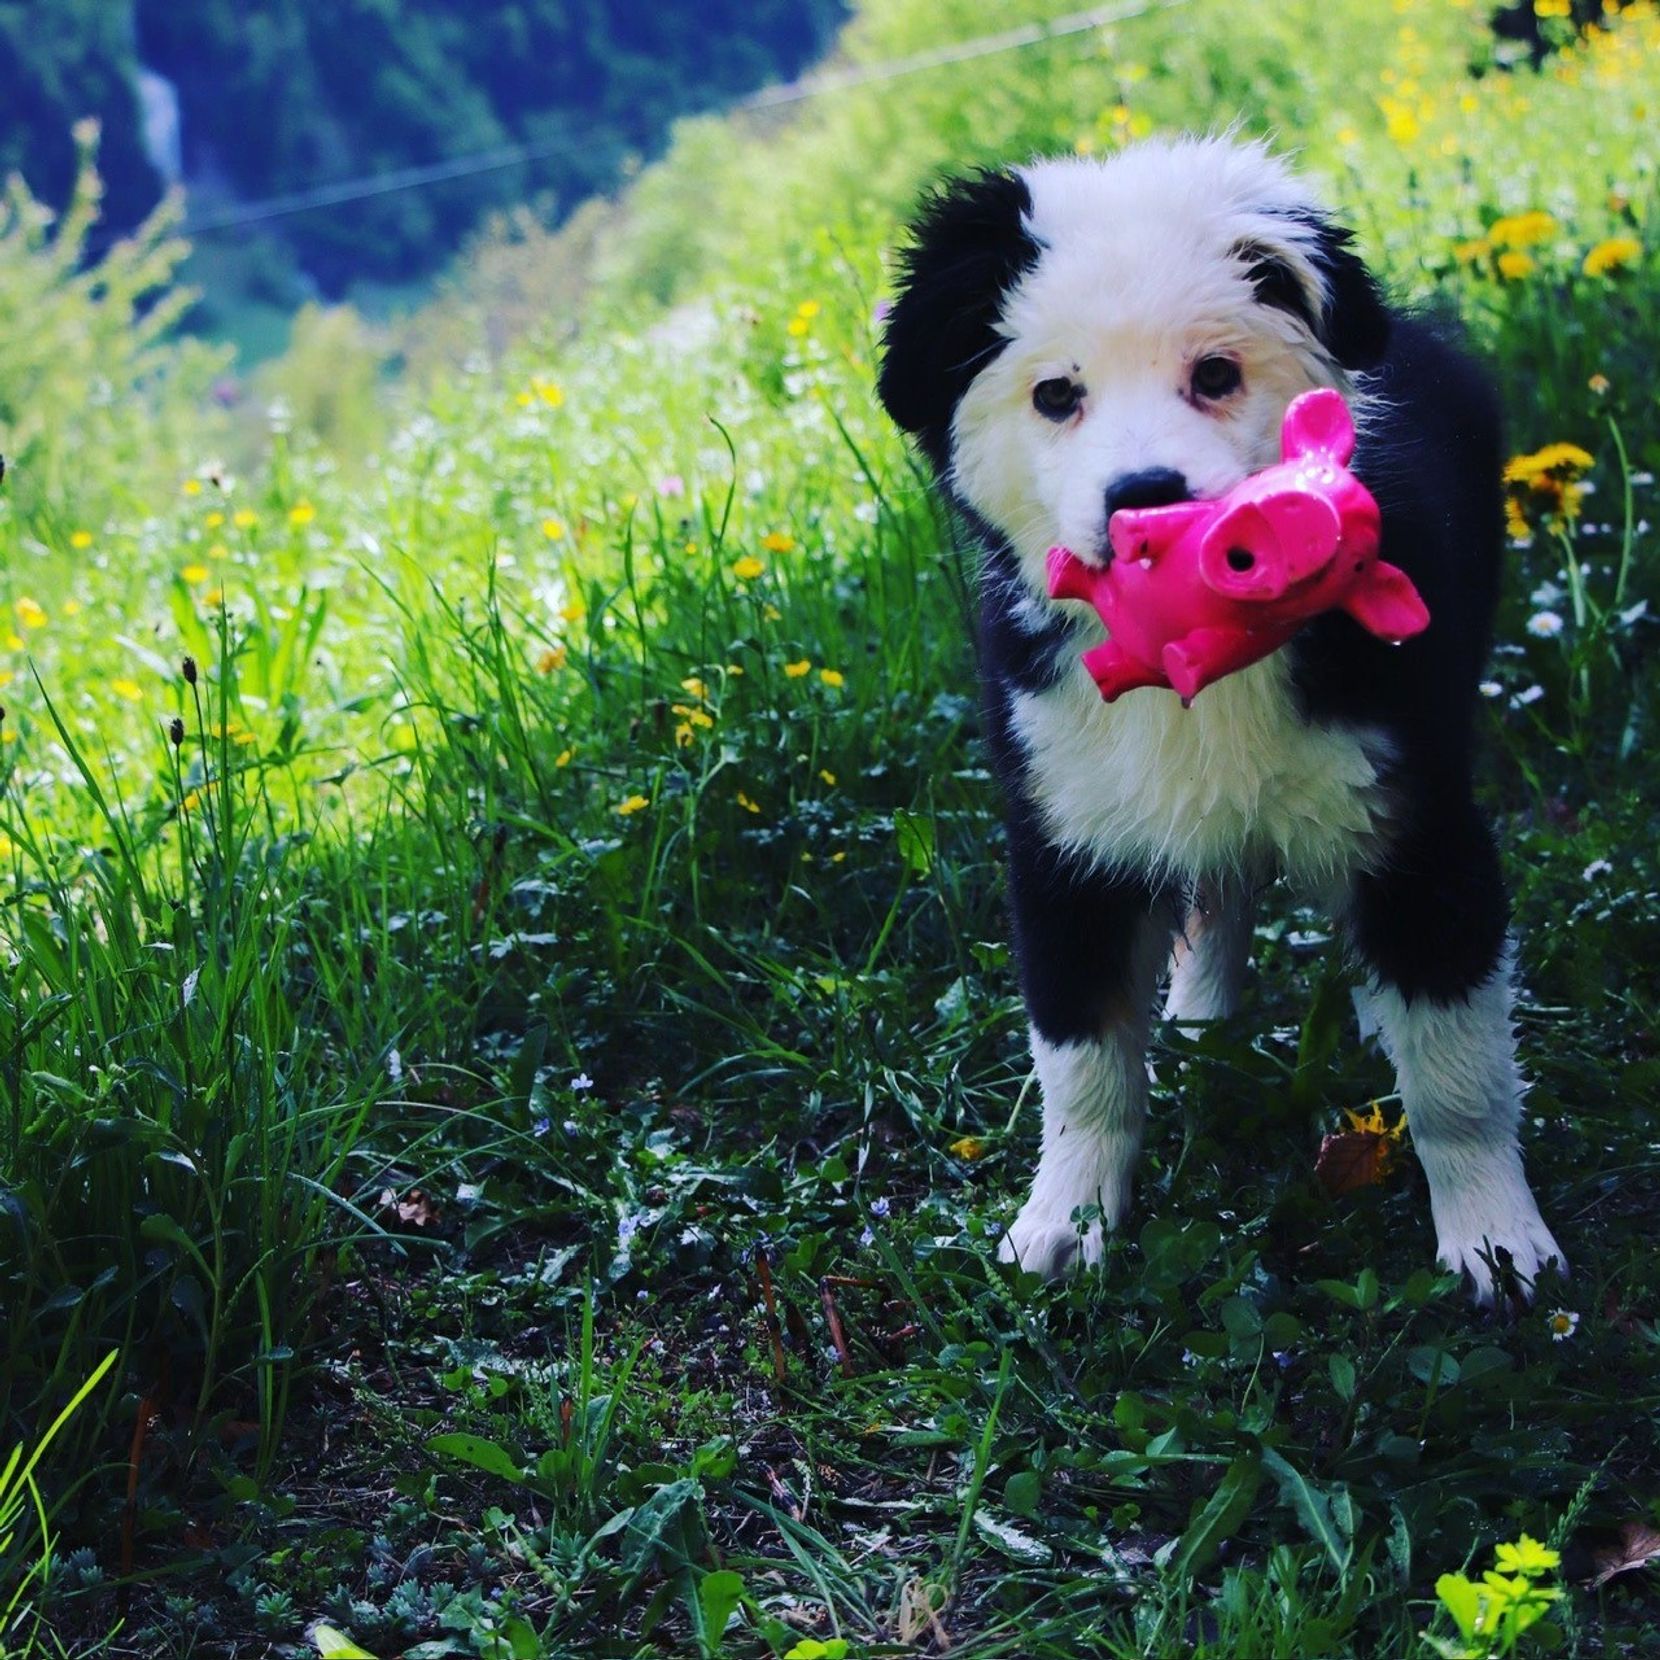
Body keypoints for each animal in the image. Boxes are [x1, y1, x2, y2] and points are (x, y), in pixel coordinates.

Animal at [876, 132, 1560, 1294]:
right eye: (1054, 394)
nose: (1146, 501)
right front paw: (1065, 1219)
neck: (1199, 658)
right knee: (1220, 887)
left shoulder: (1413, 817)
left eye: (1214, 375)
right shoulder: (1065, 832)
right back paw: (1200, 1015)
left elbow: (1456, 1060)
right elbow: (1079, 1053)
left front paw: (1496, 1237)